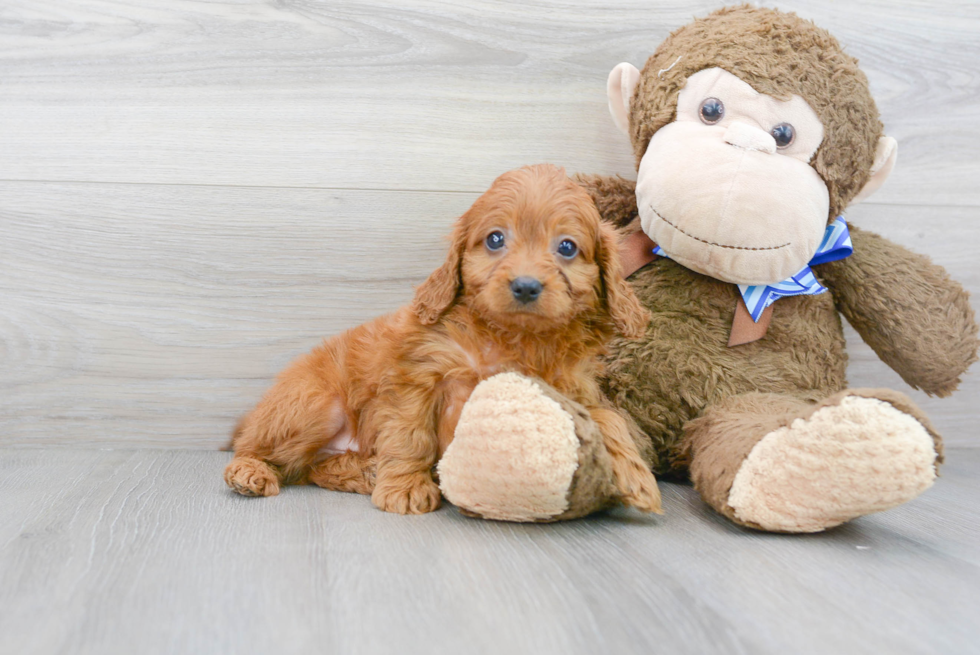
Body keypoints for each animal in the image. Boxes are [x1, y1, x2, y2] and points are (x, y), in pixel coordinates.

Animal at [226, 163, 664, 512]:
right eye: (495, 239)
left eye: (568, 247)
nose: (525, 286)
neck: (516, 338)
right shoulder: (416, 377)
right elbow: (410, 436)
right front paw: (405, 488)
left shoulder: (574, 389)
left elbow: (609, 417)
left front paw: (637, 475)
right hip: (315, 406)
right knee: (257, 451)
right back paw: (250, 472)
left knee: (314, 468)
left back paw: (365, 472)